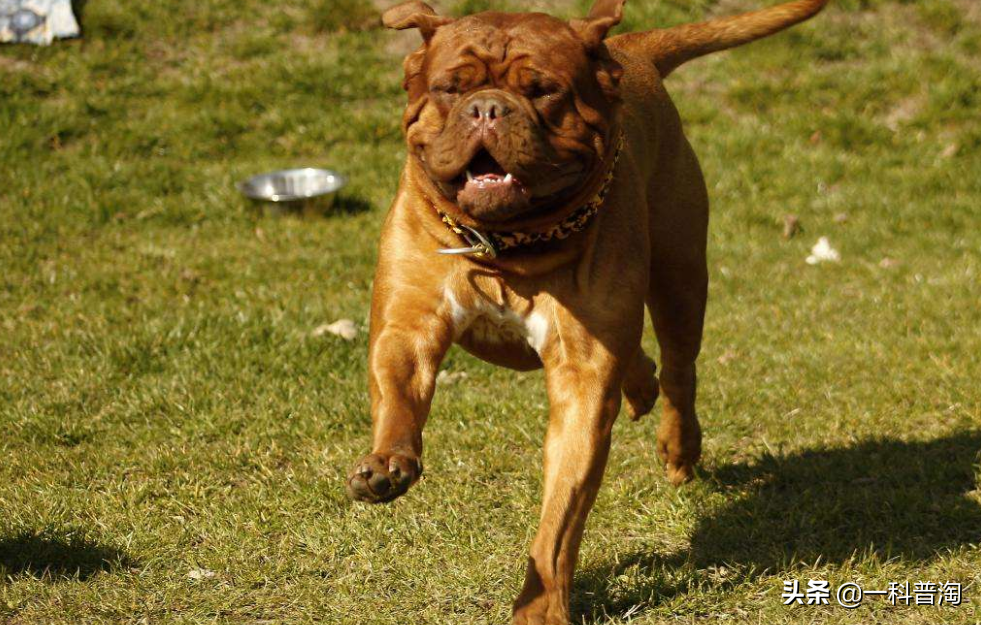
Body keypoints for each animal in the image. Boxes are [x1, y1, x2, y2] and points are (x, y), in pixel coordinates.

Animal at [348, 2, 832, 620]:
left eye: (543, 90)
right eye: (450, 89)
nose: (487, 108)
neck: (510, 244)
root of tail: (630, 48)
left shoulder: (582, 381)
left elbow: (560, 518)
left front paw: (541, 606)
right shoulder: (406, 326)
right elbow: (398, 398)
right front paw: (387, 464)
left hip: (679, 276)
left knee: (680, 370)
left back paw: (679, 444)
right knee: (642, 361)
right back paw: (641, 386)